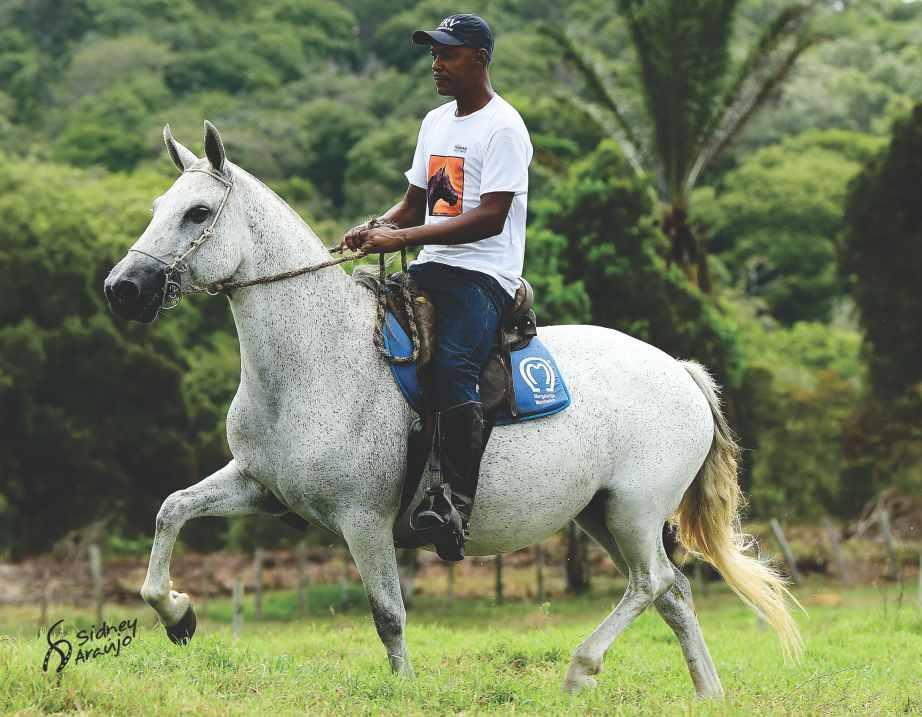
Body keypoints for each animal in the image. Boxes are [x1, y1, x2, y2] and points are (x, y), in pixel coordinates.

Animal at [106, 121, 796, 692]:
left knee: (650, 583)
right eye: (157, 208)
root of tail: (681, 372)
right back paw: (707, 692)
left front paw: (406, 690)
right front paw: (178, 613)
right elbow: (172, 511)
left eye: (197, 213)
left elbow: (388, 614)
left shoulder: (363, 520)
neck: (313, 360)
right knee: (672, 592)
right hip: (602, 514)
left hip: (634, 510)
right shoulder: (259, 486)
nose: (123, 289)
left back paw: (581, 670)